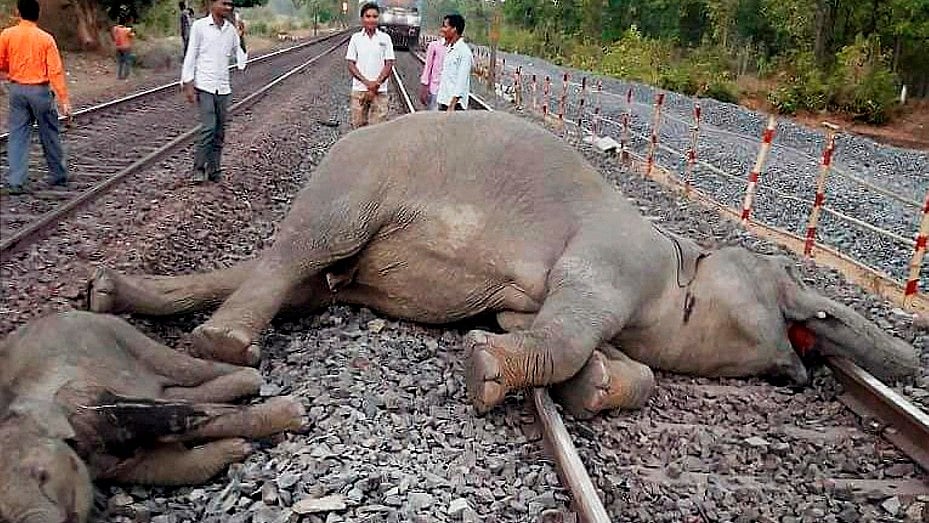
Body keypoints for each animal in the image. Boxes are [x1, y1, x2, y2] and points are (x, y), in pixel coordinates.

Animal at [0, 311, 306, 523]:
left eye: (42, 476)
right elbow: (167, 467)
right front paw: (236, 448)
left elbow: (175, 418)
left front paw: (294, 415)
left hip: (119, 333)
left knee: (180, 369)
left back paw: (253, 376)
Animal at [86, 110, 918, 419]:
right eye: (796, 286)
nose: (907, 362)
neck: (681, 258)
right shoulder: (613, 255)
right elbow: (572, 316)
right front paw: (483, 366)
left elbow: (584, 341)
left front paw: (595, 384)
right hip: (353, 183)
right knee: (299, 249)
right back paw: (220, 345)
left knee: (295, 277)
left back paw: (107, 292)